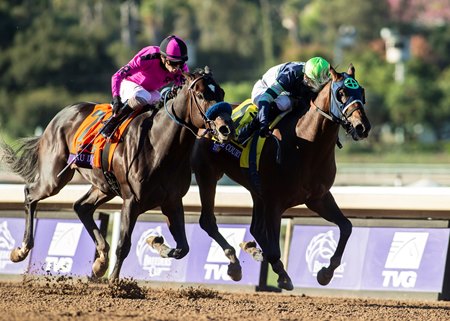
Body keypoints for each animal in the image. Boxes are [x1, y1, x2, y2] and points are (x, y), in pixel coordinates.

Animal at [0, 67, 232, 280]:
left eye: (221, 93)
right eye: (201, 95)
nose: (225, 128)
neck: (160, 146)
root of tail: (61, 114)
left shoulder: (172, 200)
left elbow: (183, 248)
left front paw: (156, 242)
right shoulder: (132, 200)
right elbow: (123, 245)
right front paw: (114, 283)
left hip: (104, 186)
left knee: (81, 207)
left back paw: (100, 261)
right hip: (54, 178)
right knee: (30, 194)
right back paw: (21, 250)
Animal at [190, 65, 370, 290]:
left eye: (361, 91)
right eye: (341, 93)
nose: (362, 127)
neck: (305, 142)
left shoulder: (318, 197)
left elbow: (346, 227)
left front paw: (326, 273)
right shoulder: (274, 201)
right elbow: (275, 250)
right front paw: (282, 275)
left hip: (255, 189)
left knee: (255, 228)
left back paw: (251, 250)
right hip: (208, 174)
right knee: (208, 221)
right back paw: (235, 263)